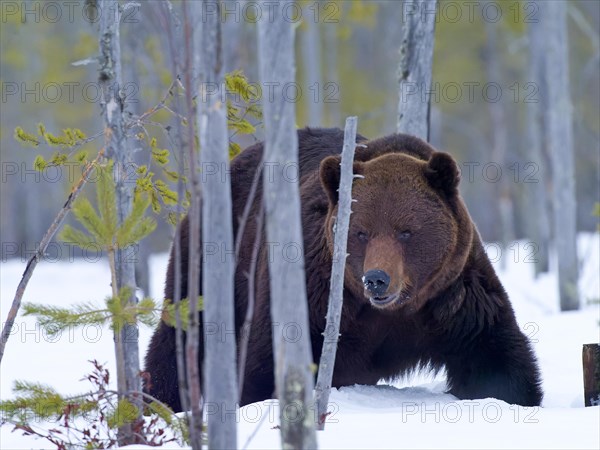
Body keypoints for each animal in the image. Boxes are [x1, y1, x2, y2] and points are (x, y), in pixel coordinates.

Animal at [145, 126, 544, 412]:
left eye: (406, 231)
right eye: (361, 231)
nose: (377, 279)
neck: (391, 312)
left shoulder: (452, 294)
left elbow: (495, 357)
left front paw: (512, 395)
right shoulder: (315, 290)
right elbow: (266, 360)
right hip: (215, 256)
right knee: (181, 333)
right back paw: (161, 400)